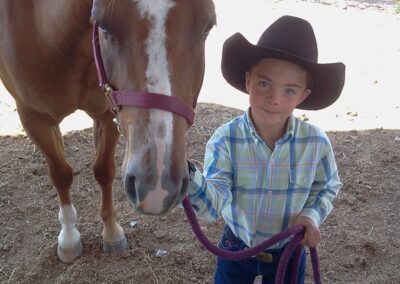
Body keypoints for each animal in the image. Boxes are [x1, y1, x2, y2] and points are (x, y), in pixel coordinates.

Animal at [0, 0, 216, 264]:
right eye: (102, 24)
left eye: (208, 26)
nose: (157, 189)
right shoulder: (34, 118)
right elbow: (61, 174)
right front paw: (69, 239)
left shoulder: (107, 113)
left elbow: (104, 171)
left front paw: (112, 233)